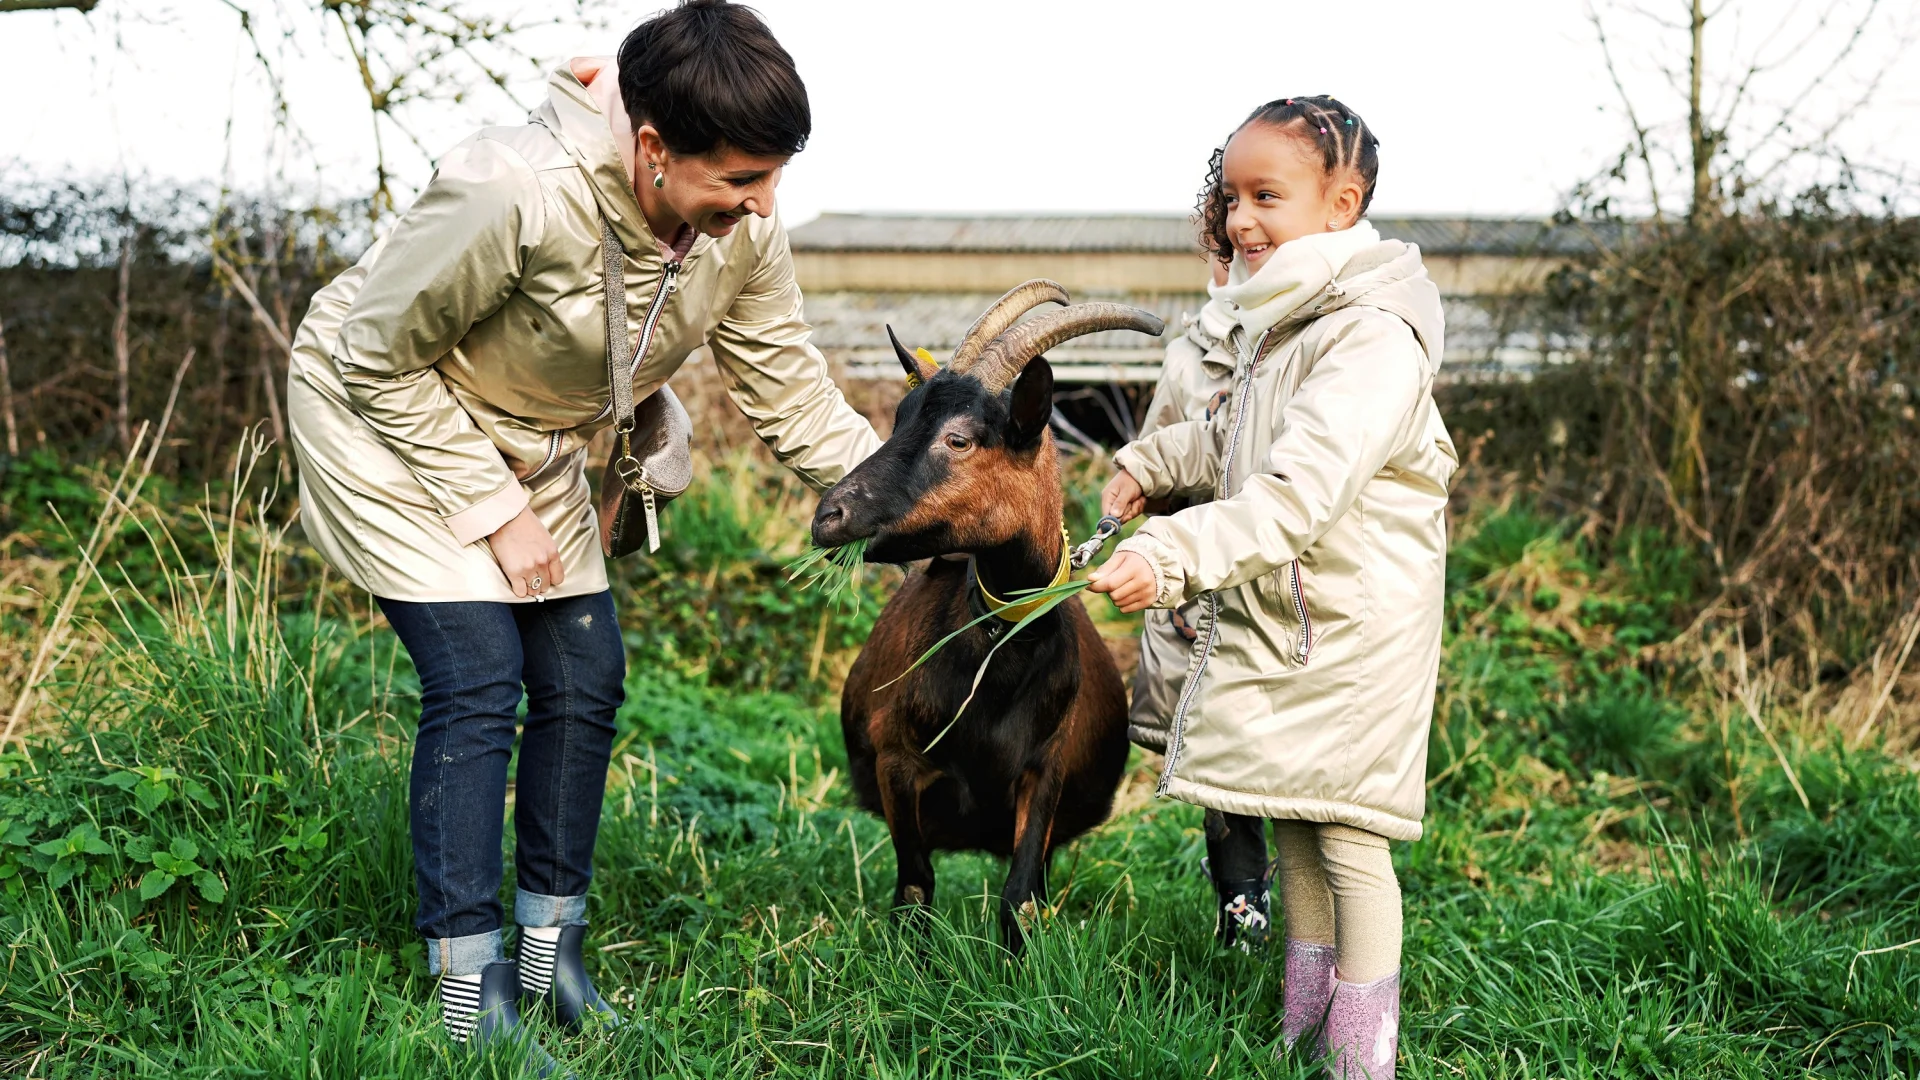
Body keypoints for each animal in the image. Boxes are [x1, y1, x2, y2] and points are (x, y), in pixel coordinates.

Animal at [814, 282, 1167, 945]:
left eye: (959, 438)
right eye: (900, 418)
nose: (829, 516)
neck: (1000, 655)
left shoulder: (1045, 771)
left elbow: (1017, 898)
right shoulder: (897, 763)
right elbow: (914, 887)